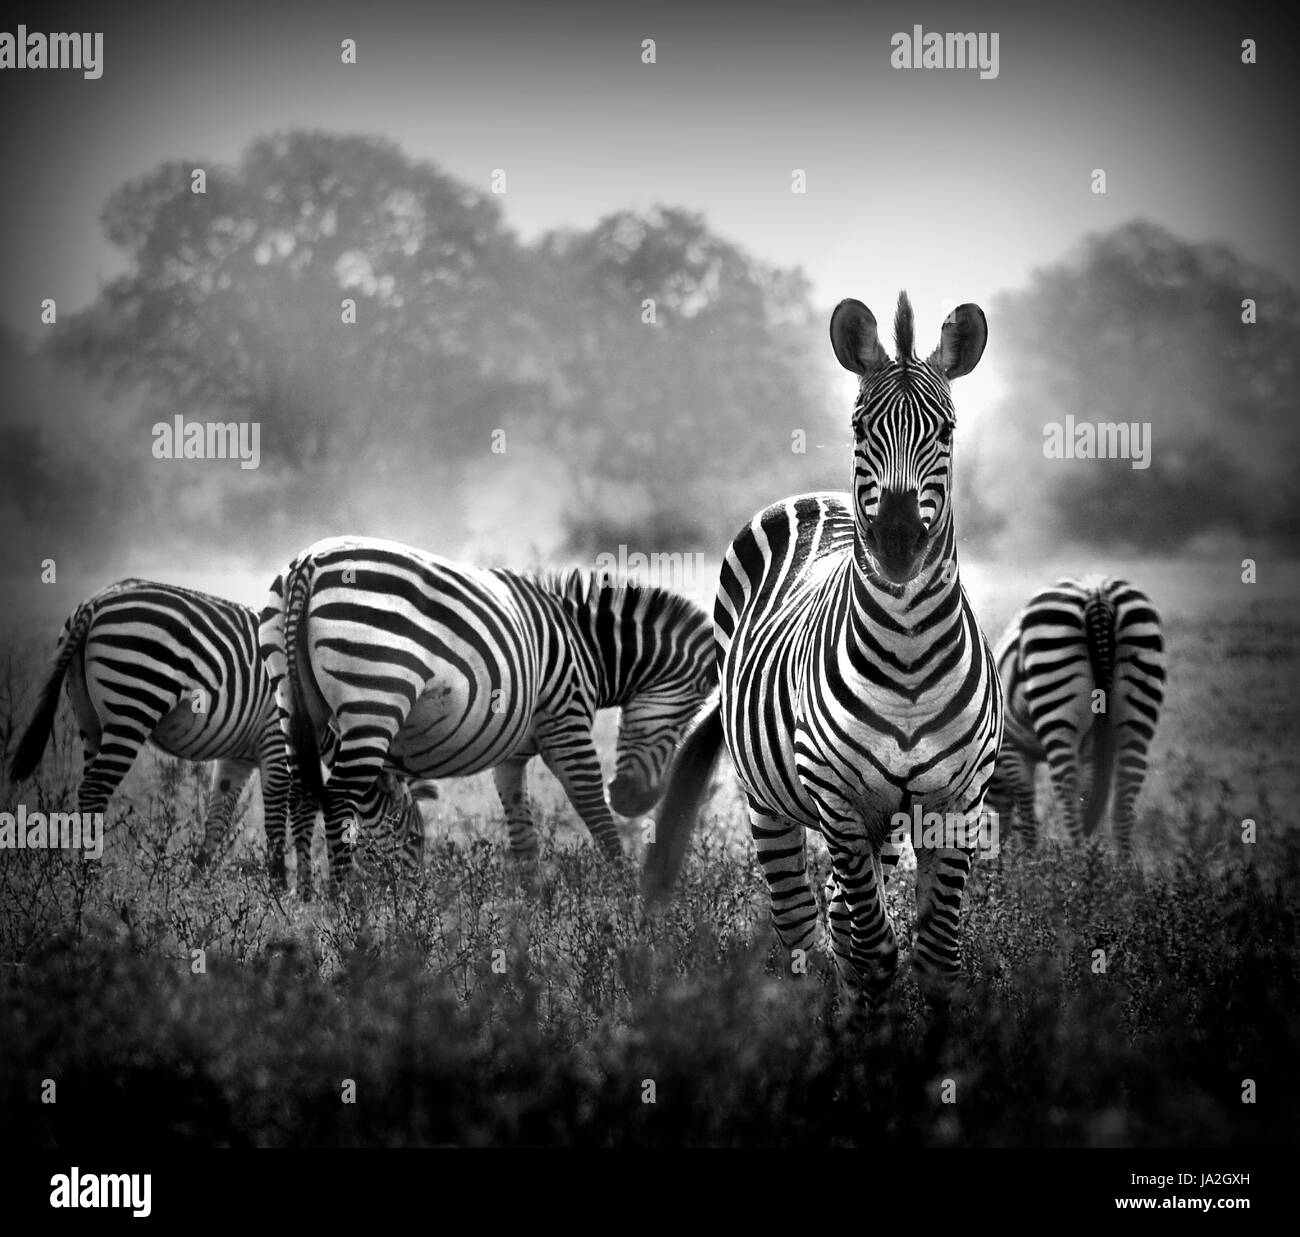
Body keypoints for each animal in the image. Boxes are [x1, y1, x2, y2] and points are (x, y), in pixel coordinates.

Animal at [6, 578, 429, 888]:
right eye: (415, 839)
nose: (412, 895)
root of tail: (97, 600)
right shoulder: (276, 742)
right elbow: (284, 814)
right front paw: (284, 890)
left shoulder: (237, 758)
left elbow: (218, 818)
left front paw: (198, 883)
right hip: (135, 701)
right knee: (94, 790)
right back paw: (90, 879)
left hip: (89, 719)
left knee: (89, 788)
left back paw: (85, 874)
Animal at [258, 537, 717, 890]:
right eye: (685, 721)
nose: (634, 802)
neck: (588, 649)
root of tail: (308, 563)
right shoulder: (566, 721)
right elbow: (595, 813)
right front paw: (626, 895)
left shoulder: (512, 757)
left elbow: (523, 838)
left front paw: (533, 914)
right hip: (374, 702)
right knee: (336, 797)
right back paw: (344, 905)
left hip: (293, 702)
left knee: (301, 795)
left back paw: (306, 902)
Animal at [644, 293, 1003, 1009]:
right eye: (861, 429)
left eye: (945, 433)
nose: (897, 544)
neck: (909, 653)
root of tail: (817, 498)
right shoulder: (837, 799)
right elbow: (874, 949)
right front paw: (863, 1031)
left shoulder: (958, 802)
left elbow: (935, 956)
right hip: (772, 804)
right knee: (801, 918)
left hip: (881, 822)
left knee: (839, 910)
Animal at [984, 575, 1166, 857]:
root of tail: (1097, 593)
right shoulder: (1089, 752)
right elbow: (1087, 791)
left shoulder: (1014, 749)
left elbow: (1026, 805)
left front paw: (1029, 859)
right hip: (1139, 696)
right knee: (1126, 785)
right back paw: (1120, 865)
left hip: (1054, 694)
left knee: (1066, 784)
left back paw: (1076, 857)